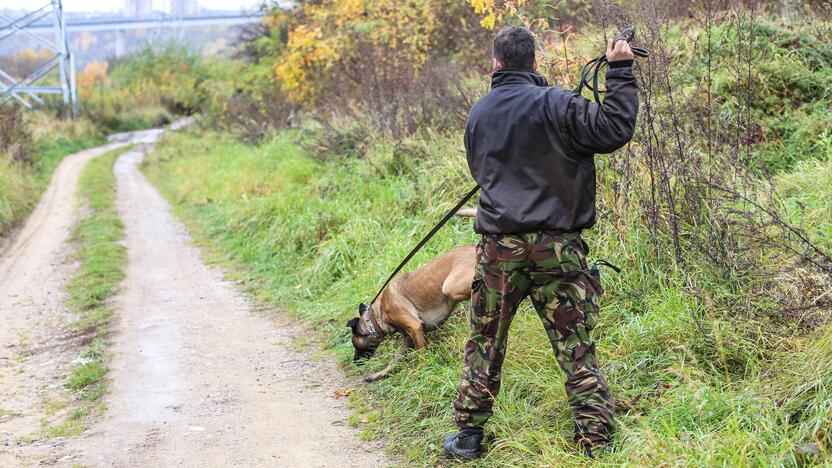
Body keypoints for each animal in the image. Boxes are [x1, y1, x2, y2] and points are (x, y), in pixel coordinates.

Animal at [346, 243, 474, 382]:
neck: (376, 315)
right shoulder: (408, 338)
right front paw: (378, 374)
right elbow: (394, 360)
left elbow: (420, 353)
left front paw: (423, 370)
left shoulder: (415, 327)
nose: (355, 362)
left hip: (450, 287)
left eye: (355, 344)